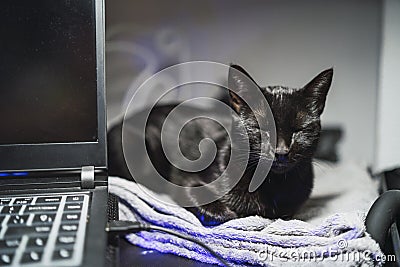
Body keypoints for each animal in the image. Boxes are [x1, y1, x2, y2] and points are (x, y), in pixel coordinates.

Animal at [106, 65, 332, 226]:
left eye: (299, 130)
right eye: (261, 129)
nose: (281, 151)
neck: (273, 185)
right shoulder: (185, 180)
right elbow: (209, 203)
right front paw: (224, 212)